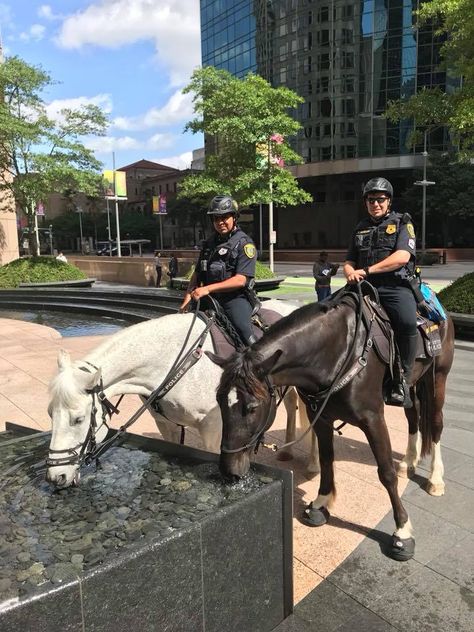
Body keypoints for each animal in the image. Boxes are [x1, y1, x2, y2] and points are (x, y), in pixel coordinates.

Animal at [47, 302, 318, 488]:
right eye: (50, 414)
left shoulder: (212, 427)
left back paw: (312, 465)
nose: (56, 476)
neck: (172, 361)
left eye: (78, 419)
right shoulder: (166, 424)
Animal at [211, 288, 456, 560]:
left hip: (437, 378)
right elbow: (327, 459)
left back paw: (435, 478)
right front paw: (321, 503)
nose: (229, 471)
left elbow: (386, 473)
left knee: (435, 424)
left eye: (252, 407)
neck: (336, 354)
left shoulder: (373, 419)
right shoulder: (321, 417)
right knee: (413, 417)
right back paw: (408, 462)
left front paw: (402, 531)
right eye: (219, 399)